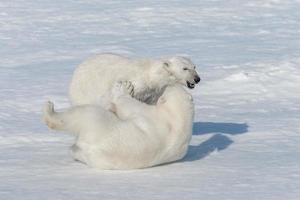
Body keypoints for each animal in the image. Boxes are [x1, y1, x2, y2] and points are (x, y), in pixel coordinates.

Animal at [42, 82, 195, 170]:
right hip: (92, 158)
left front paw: (123, 88)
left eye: (167, 89)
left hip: (96, 122)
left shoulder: (152, 115)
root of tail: (90, 148)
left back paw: (49, 108)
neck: (179, 119)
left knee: (80, 113)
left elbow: (129, 106)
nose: (166, 85)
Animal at [68, 52, 199, 106]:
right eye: (185, 68)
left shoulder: (153, 93)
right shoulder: (137, 83)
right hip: (85, 89)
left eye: (194, 67)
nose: (197, 79)